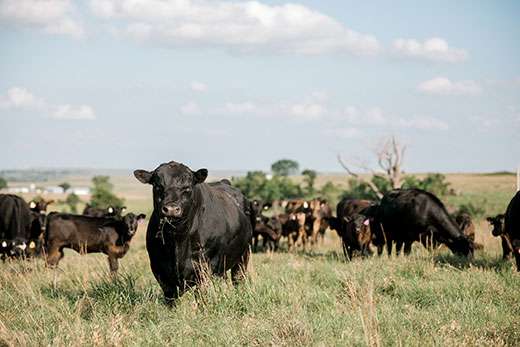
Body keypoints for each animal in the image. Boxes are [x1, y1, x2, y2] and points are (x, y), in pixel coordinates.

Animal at [132, 162, 250, 304]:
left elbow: (201, 295)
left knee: (238, 279)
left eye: (187, 188)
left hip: (243, 256)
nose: (171, 209)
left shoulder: (204, 266)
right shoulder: (159, 268)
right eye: (157, 186)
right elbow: (170, 297)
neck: (177, 238)